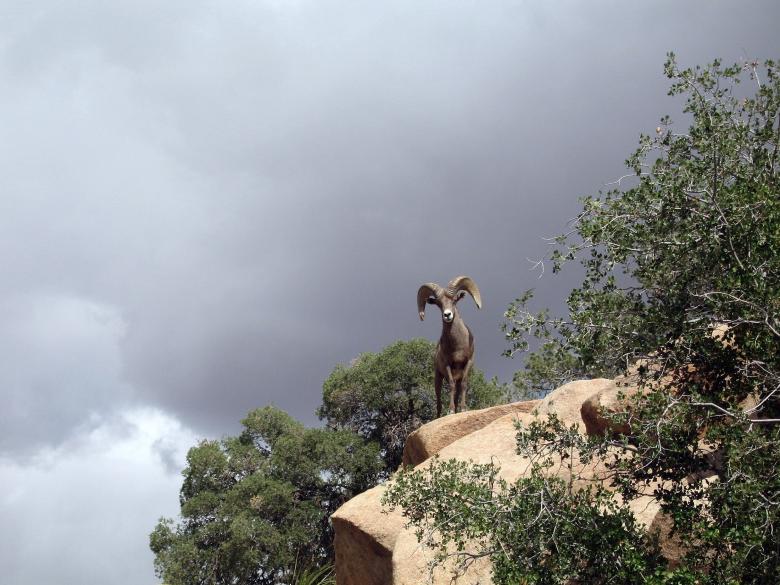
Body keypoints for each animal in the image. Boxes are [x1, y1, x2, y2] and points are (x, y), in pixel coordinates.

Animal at [417, 276, 482, 417]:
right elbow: (451, 386)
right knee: (439, 399)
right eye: (439, 303)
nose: (447, 315)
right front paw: (451, 410)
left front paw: (463, 409)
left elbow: (464, 384)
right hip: (438, 378)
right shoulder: (447, 365)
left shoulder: (468, 363)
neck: (457, 346)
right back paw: (438, 416)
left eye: (454, 300)